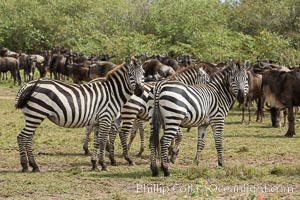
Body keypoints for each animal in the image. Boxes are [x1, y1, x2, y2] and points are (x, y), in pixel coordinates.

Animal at [14, 56, 144, 172]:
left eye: (143, 74)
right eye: (130, 75)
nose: (140, 91)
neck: (112, 93)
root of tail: (27, 85)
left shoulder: (97, 122)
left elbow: (97, 142)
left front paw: (94, 164)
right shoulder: (106, 118)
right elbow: (102, 141)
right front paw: (103, 165)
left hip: (32, 115)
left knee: (28, 138)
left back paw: (33, 166)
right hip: (36, 114)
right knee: (22, 137)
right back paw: (25, 166)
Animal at [82, 63, 211, 166]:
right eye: (206, 77)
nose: (210, 84)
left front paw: (164, 153)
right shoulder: (172, 116)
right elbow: (178, 136)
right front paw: (172, 154)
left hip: (116, 115)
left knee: (109, 131)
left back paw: (110, 157)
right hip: (129, 112)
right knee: (120, 133)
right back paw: (125, 158)